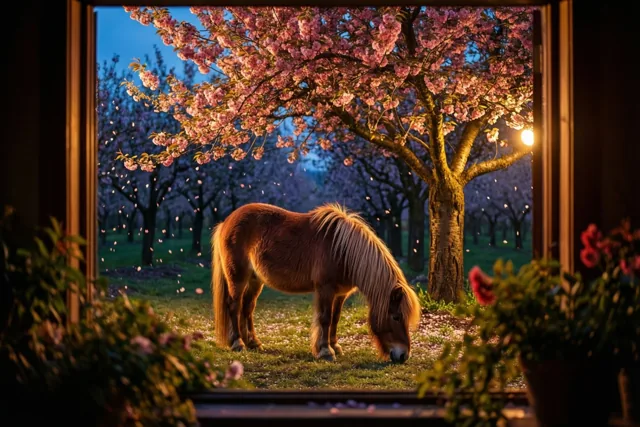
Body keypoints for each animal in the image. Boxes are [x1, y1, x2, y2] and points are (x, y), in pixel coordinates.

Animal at [211, 202, 421, 363]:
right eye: (396, 317)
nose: (403, 356)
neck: (343, 251)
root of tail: (226, 222)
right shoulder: (325, 290)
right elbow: (325, 319)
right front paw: (325, 351)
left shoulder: (340, 293)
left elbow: (335, 318)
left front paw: (335, 346)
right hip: (237, 277)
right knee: (234, 305)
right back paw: (237, 343)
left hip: (256, 280)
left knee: (247, 307)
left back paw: (253, 343)